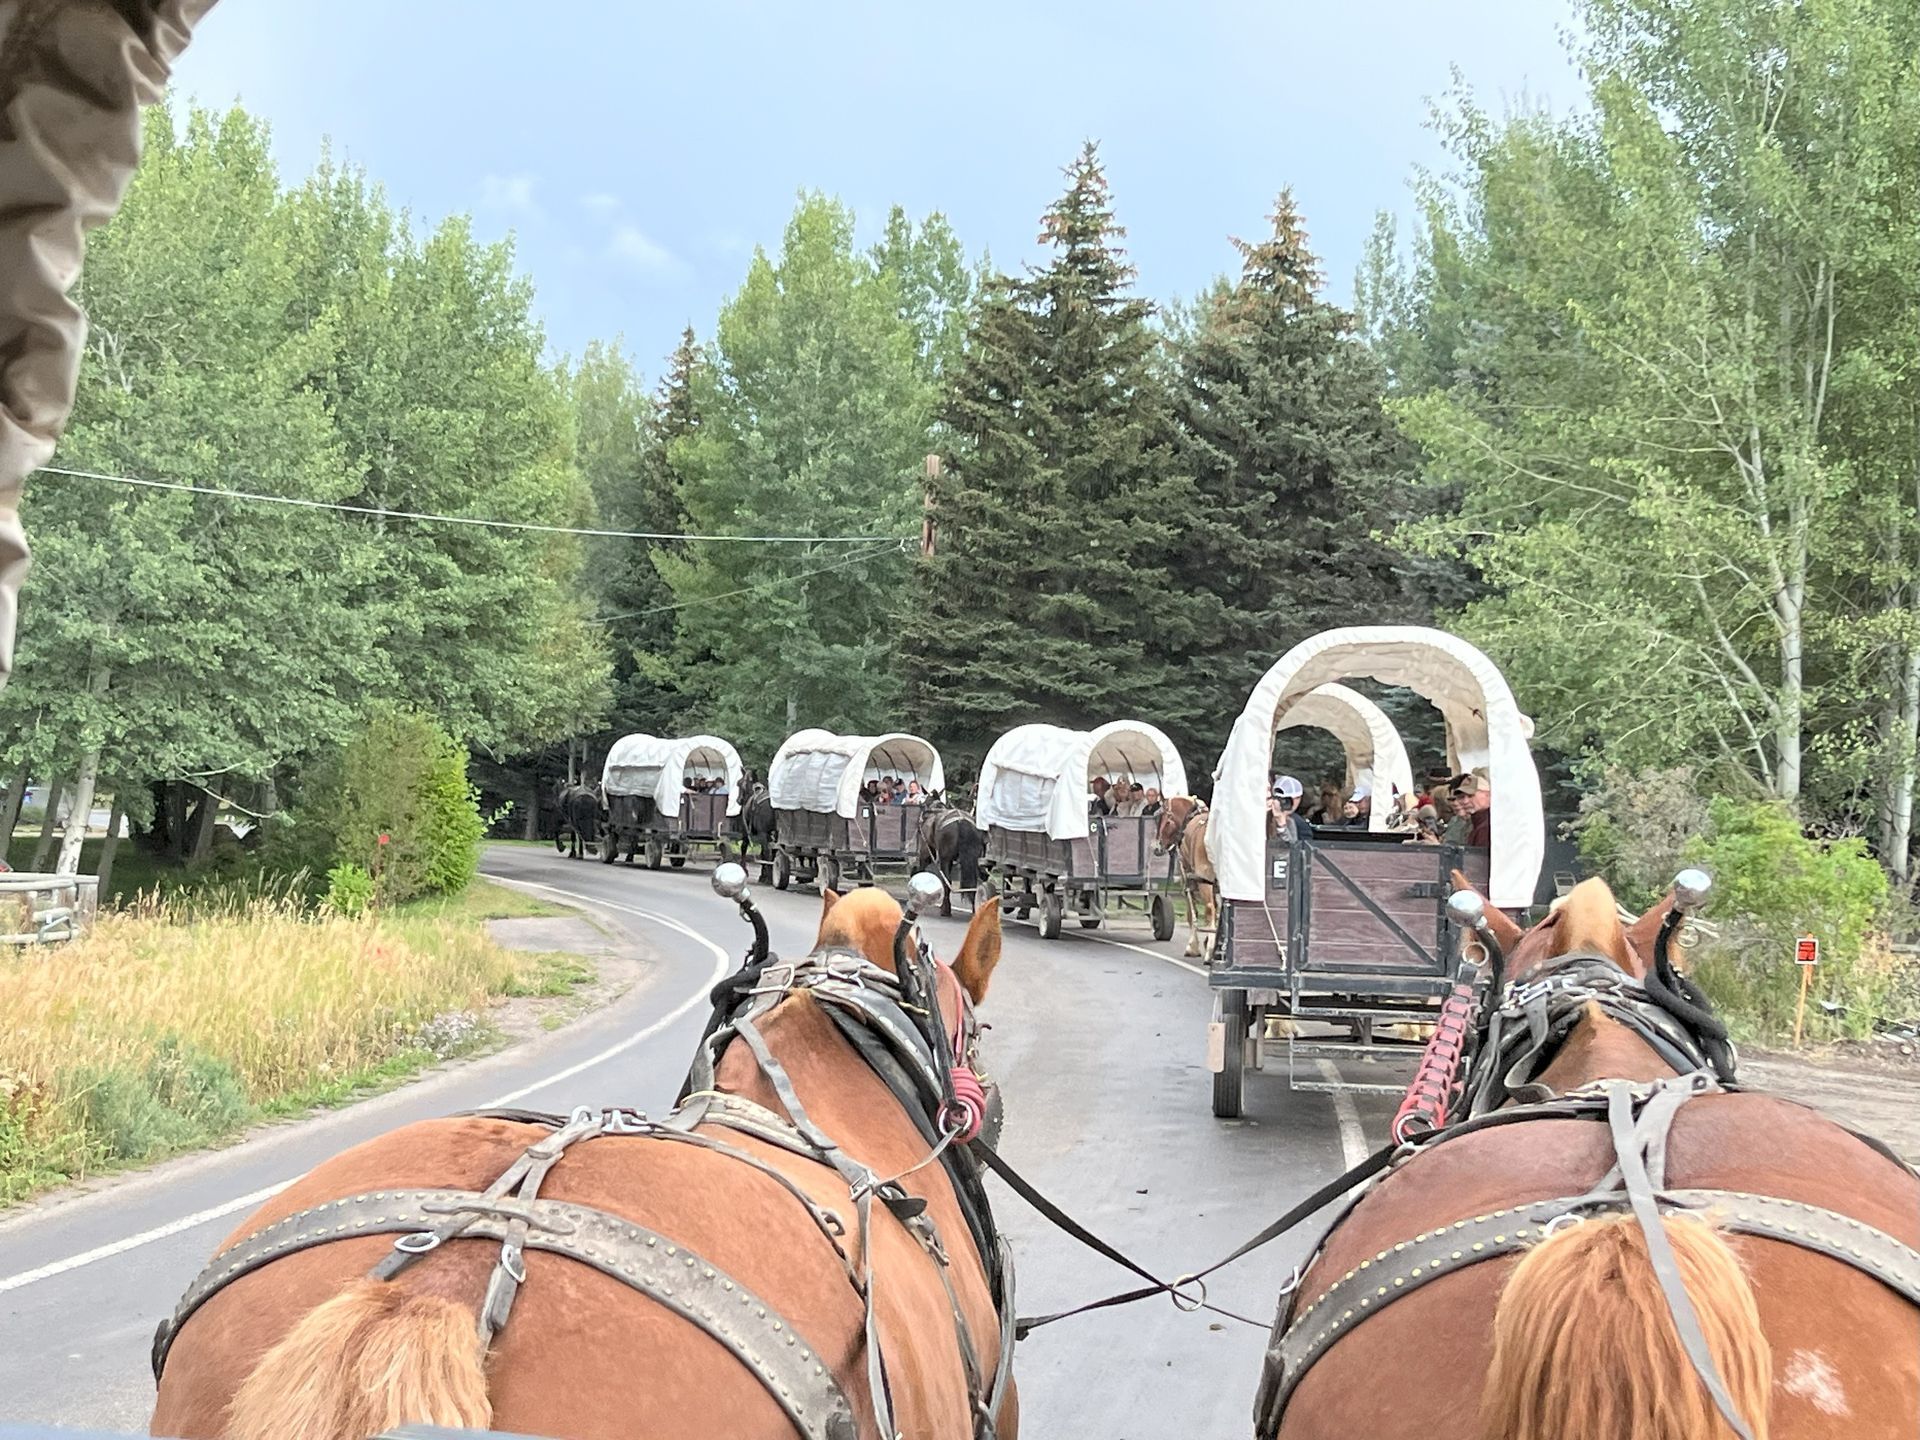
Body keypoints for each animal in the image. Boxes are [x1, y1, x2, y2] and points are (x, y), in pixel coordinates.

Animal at [1154, 796, 1216, 959]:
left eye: (1163, 819)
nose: (1157, 847)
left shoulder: (1187, 880)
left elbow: (1191, 913)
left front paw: (1193, 946)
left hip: (1204, 880)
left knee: (1209, 909)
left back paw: (1210, 951)